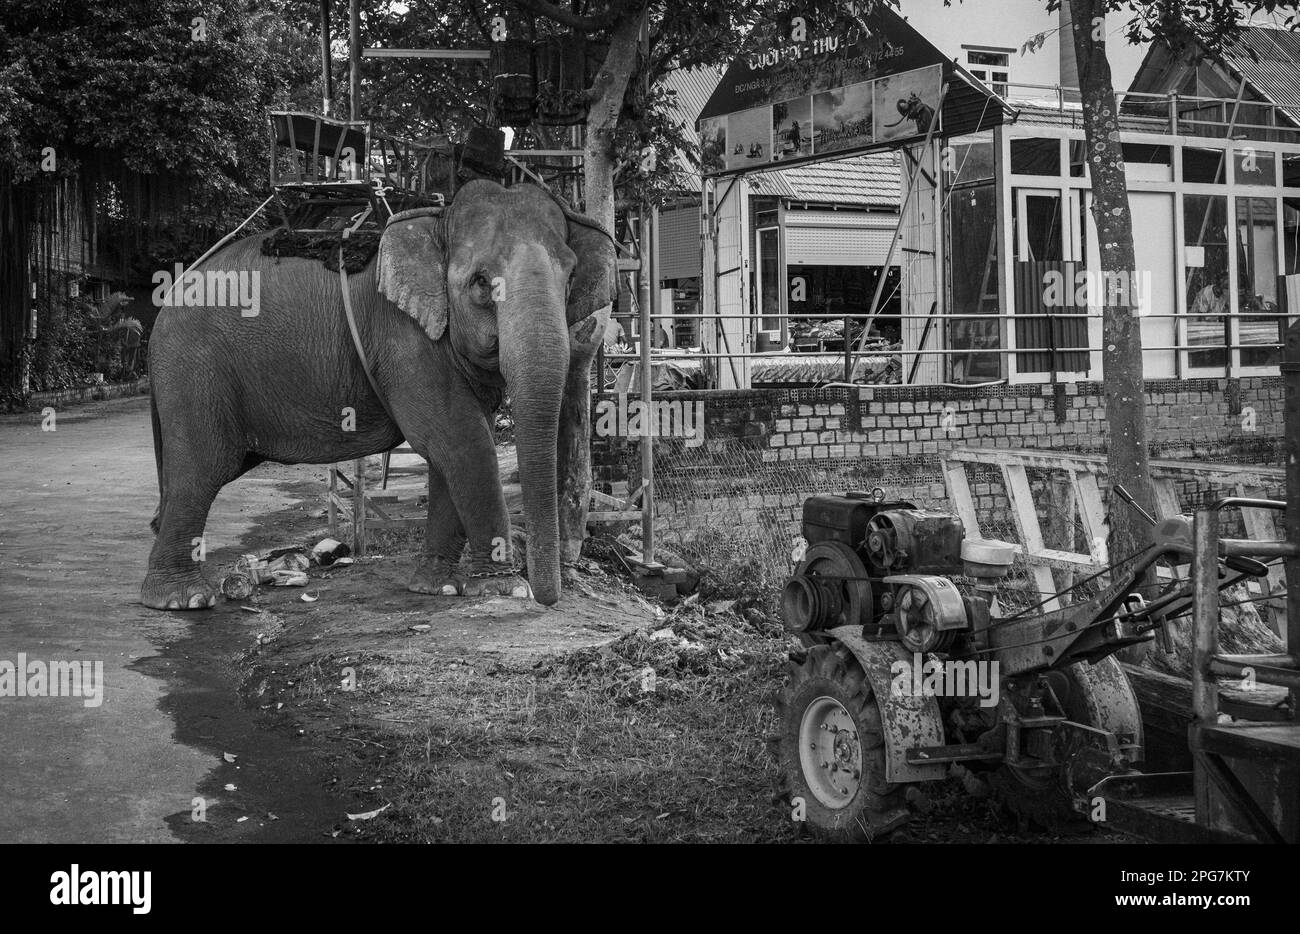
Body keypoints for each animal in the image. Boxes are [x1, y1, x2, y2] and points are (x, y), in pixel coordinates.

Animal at [139, 178, 616, 611]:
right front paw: (505, 589)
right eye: (480, 283)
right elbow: (461, 439)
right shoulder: (403, 338)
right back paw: (183, 599)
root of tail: (166, 299)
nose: (549, 600)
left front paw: (436, 588)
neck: (436, 219)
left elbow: (452, 448)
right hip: (193, 371)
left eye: (571, 278)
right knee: (202, 469)